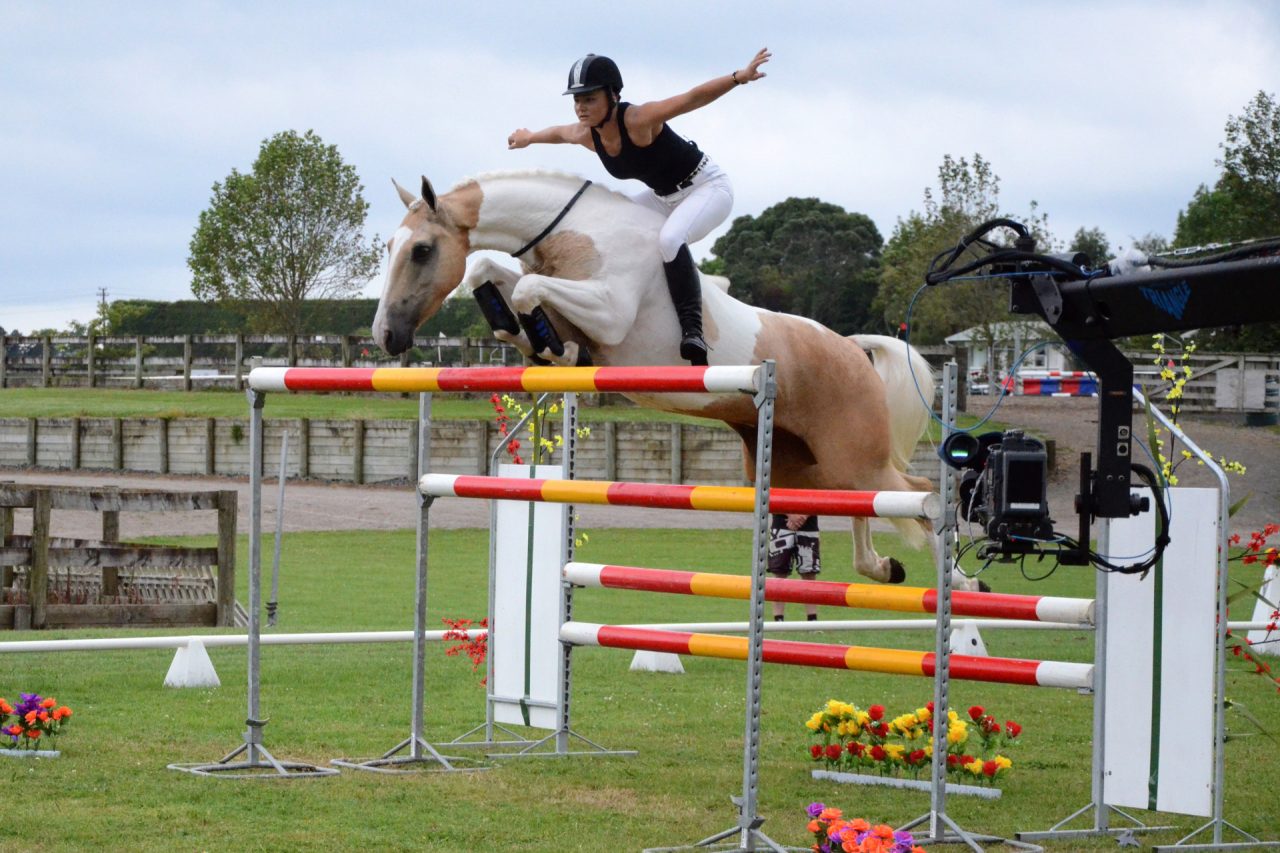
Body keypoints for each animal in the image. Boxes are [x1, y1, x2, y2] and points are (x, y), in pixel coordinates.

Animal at [371, 171, 952, 584]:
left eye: (422, 250)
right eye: (391, 248)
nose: (387, 336)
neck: (577, 234)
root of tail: (854, 350)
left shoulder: (608, 311)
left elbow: (527, 288)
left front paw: (548, 342)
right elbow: (492, 277)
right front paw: (546, 344)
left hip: (855, 457)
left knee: (920, 497)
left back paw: (960, 597)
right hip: (805, 468)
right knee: (861, 507)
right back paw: (885, 568)